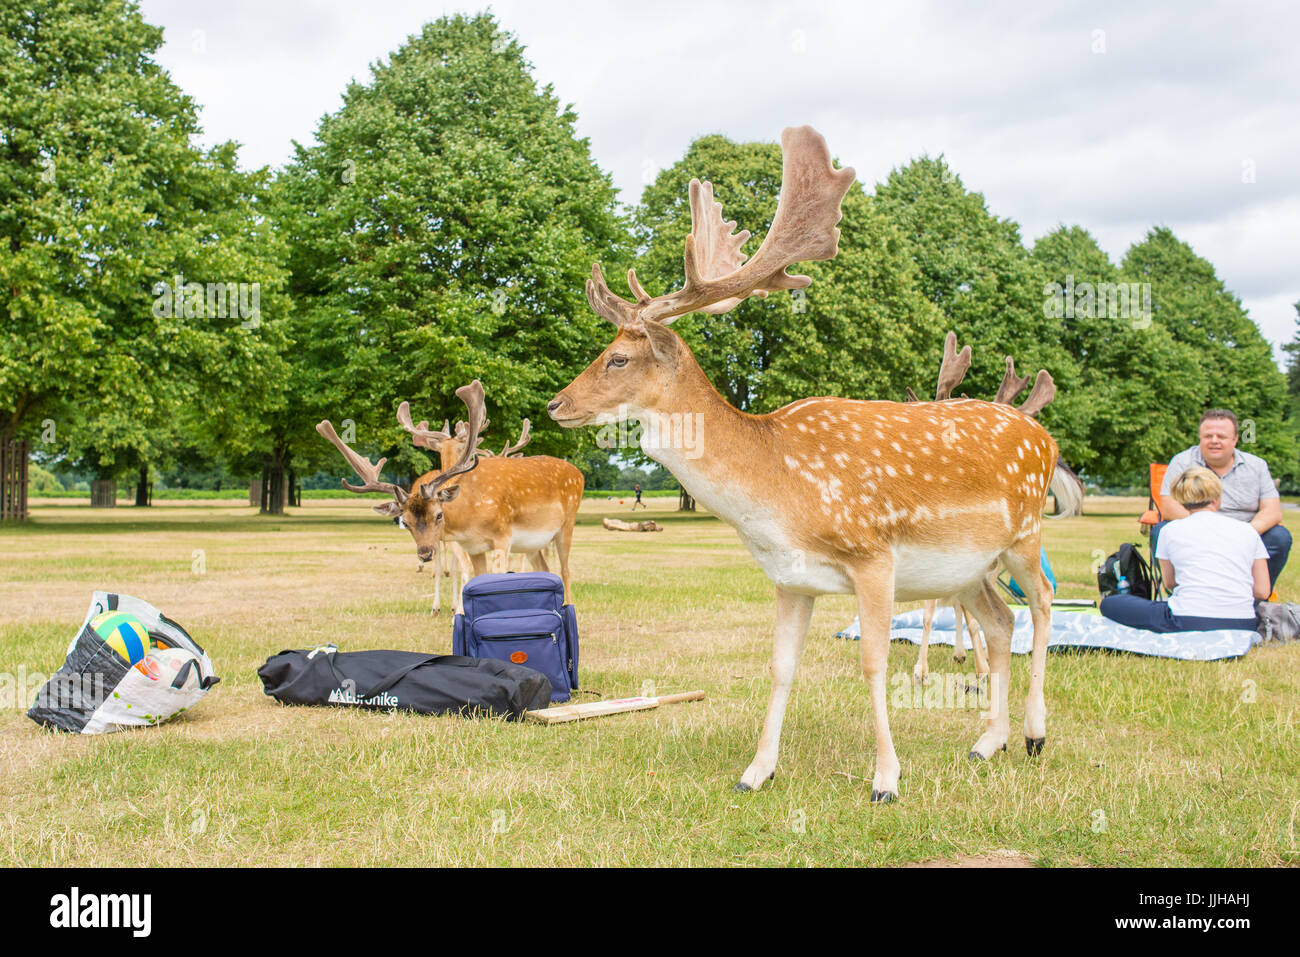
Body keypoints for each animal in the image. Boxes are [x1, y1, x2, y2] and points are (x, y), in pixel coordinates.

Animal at [548, 125, 1086, 800]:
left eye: (618, 358)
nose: (556, 404)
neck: (777, 492)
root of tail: (1044, 435)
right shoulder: (790, 577)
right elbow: (780, 666)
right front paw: (756, 771)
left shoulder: (873, 554)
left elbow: (872, 661)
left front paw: (886, 778)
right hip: (967, 566)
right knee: (999, 622)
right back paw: (988, 742)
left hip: (1025, 532)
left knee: (1042, 601)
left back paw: (1035, 735)